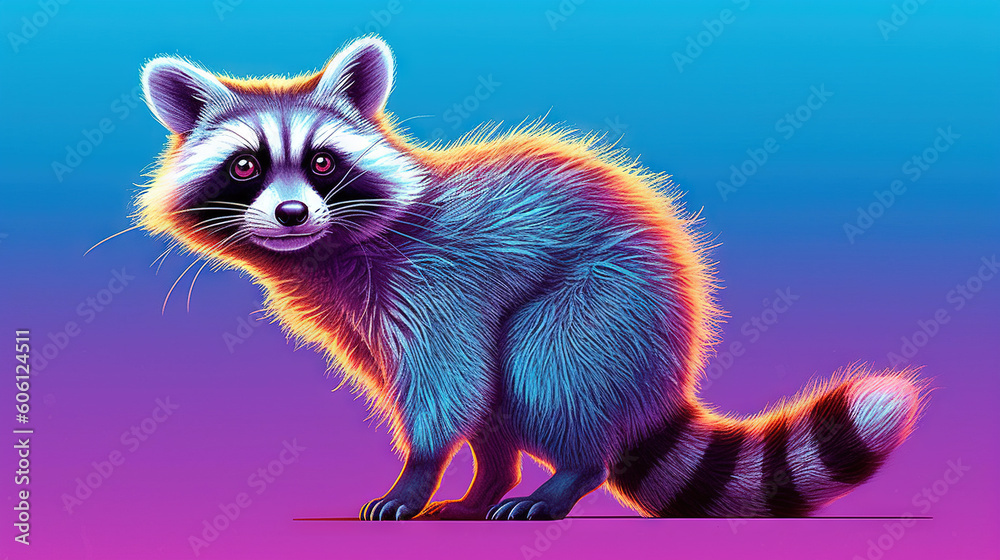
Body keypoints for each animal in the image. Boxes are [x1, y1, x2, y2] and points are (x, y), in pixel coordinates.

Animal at [137, 36, 925, 520]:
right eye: (246, 167)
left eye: (323, 162)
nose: (293, 212)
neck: (325, 249)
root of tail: (664, 379)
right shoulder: (366, 318)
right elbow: (453, 390)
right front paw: (463, 469)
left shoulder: (435, 282)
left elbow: (447, 383)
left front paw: (418, 468)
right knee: (500, 398)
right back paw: (490, 481)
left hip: (609, 304)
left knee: (542, 363)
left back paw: (571, 473)